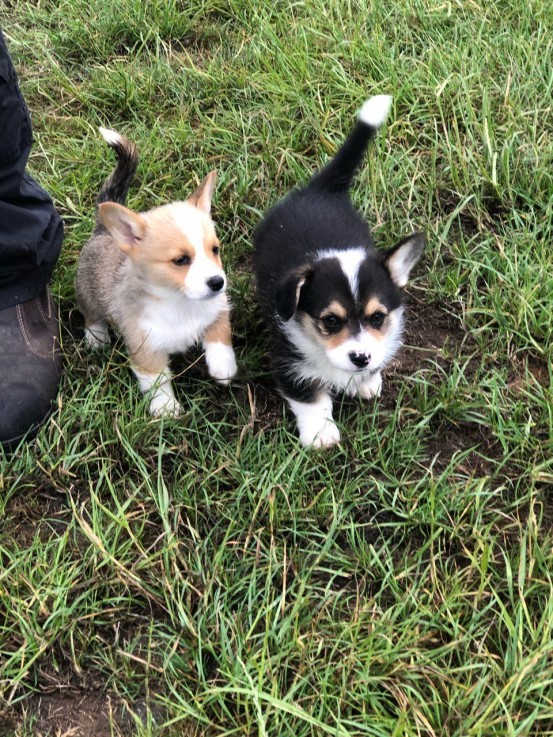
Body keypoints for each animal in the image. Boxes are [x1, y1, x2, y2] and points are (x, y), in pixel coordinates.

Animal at [75, 129, 235, 416]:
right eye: (181, 260)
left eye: (215, 249)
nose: (218, 282)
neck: (180, 302)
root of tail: (102, 231)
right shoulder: (146, 349)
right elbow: (158, 381)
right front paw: (166, 409)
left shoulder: (217, 310)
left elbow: (220, 337)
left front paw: (223, 368)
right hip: (86, 293)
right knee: (91, 315)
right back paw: (97, 338)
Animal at [252, 95, 424, 446]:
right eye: (330, 321)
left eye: (377, 317)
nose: (360, 358)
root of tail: (320, 190)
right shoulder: (290, 360)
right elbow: (310, 396)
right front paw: (321, 435)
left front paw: (367, 381)